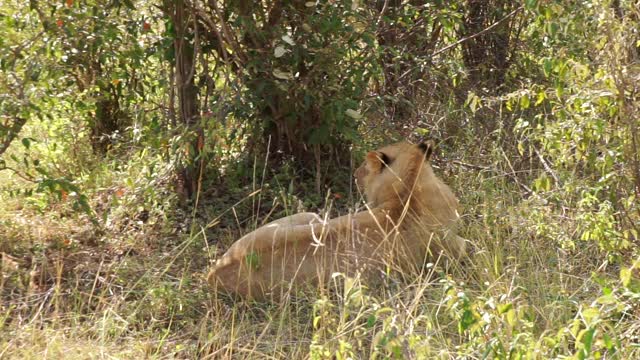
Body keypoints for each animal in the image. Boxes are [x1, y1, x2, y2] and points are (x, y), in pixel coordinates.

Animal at [208, 140, 468, 298]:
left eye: (363, 166)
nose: (355, 173)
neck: (407, 188)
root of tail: (212, 275)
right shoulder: (453, 248)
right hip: (313, 215)